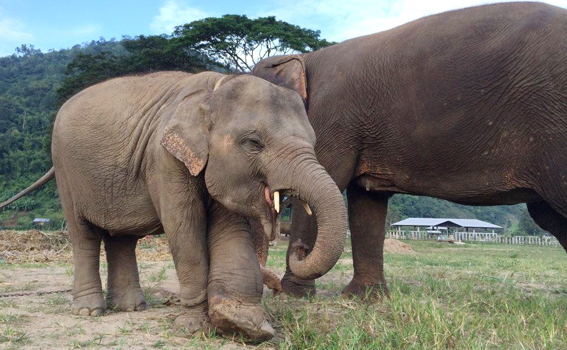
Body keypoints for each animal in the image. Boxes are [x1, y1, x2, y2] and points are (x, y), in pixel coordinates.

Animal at [0, 71, 348, 340]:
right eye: (253, 143)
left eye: (313, 142)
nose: (299, 247)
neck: (215, 87)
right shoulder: (164, 158)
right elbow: (185, 228)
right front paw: (193, 329)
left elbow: (229, 229)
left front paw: (242, 325)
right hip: (67, 172)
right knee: (83, 235)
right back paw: (89, 312)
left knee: (121, 239)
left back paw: (132, 308)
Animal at [254, 2, 567, 298]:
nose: (298, 249)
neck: (307, 58)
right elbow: (367, 201)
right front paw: (364, 298)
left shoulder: (334, 117)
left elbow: (327, 183)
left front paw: (294, 295)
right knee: (548, 215)